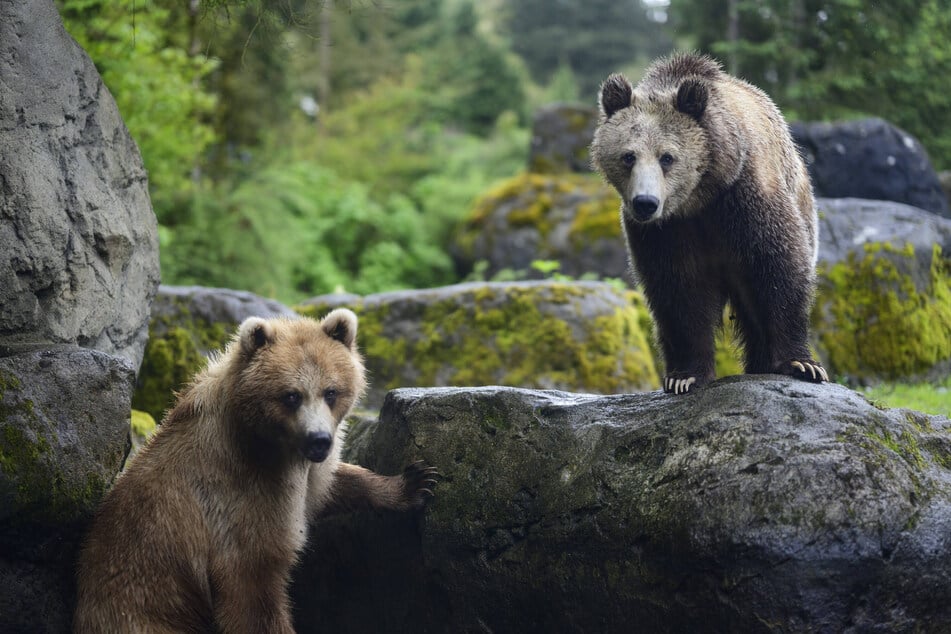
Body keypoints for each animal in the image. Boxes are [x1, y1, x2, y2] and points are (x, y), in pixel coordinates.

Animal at [74, 308, 436, 628]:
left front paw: (416, 482)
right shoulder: (241, 494)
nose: (319, 440)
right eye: (291, 395)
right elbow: (252, 587)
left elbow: (331, 486)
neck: (268, 443)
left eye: (331, 391)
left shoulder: (304, 477)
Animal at [592, 54, 828, 392]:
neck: (699, 198)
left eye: (667, 157)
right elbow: (679, 290)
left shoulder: (745, 199)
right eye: (628, 156)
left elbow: (777, 267)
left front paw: (801, 364)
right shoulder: (665, 232)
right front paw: (684, 375)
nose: (645, 202)